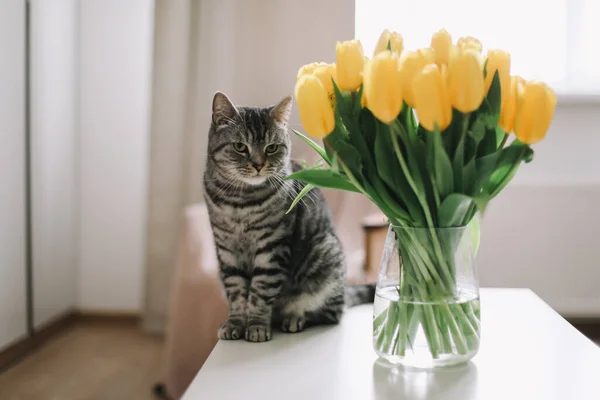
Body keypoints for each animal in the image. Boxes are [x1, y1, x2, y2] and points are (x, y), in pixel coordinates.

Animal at [206, 92, 376, 342]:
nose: (258, 165)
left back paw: (294, 318)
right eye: (240, 146)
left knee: (329, 313)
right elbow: (236, 291)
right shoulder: (226, 249)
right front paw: (235, 323)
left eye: (271, 148)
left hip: (326, 257)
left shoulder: (272, 246)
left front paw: (257, 326)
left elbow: (260, 291)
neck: (240, 201)